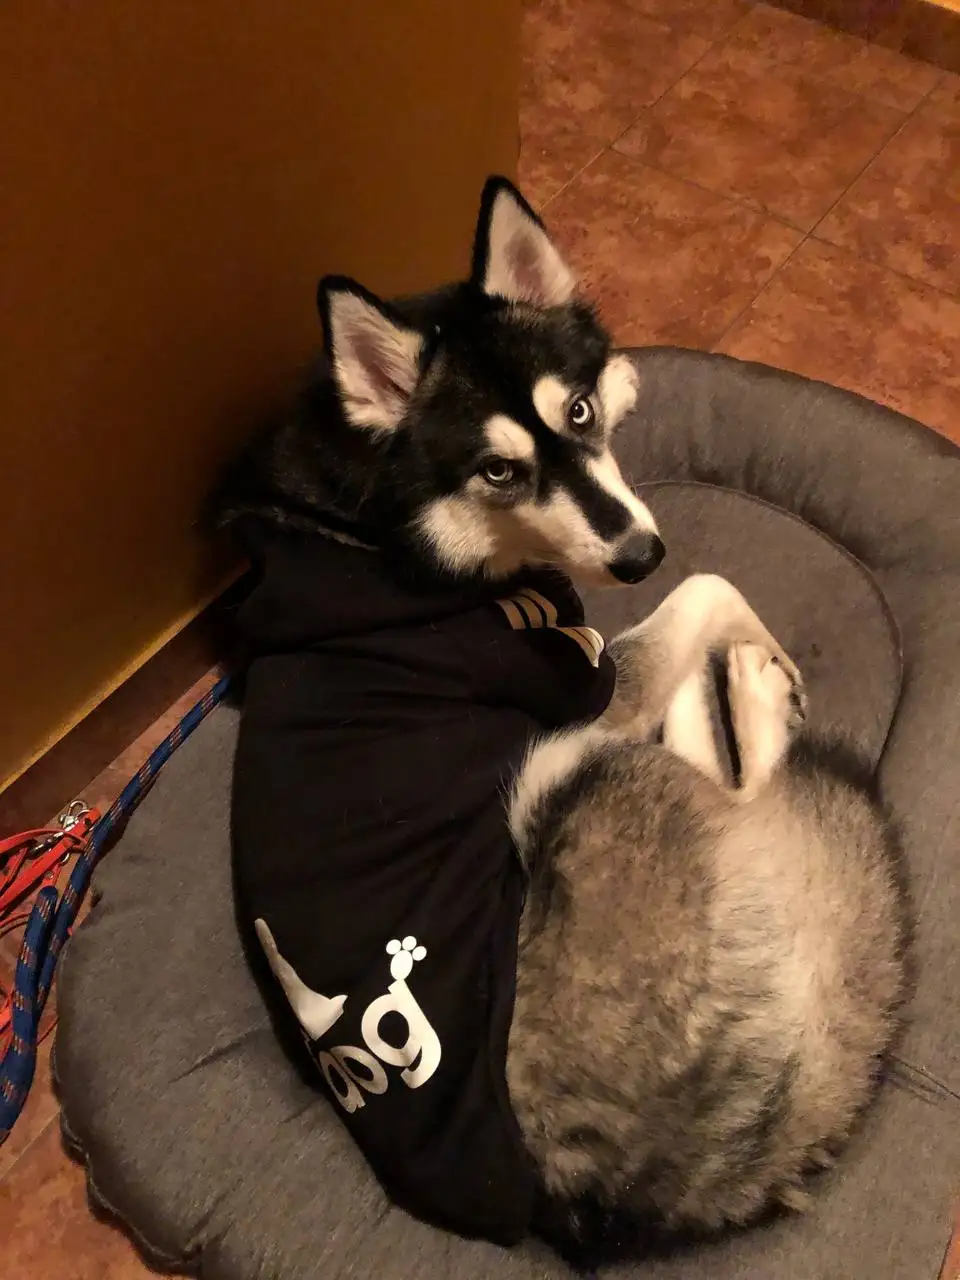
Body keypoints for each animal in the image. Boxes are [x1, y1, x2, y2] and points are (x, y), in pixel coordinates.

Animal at [214, 177, 910, 1270]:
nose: (638, 552)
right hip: (550, 773)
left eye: (574, 413)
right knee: (729, 775)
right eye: (496, 471)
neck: (367, 526)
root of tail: (613, 1194)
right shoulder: (583, 678)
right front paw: (757, 650)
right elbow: (708, 588)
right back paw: (755, 695)